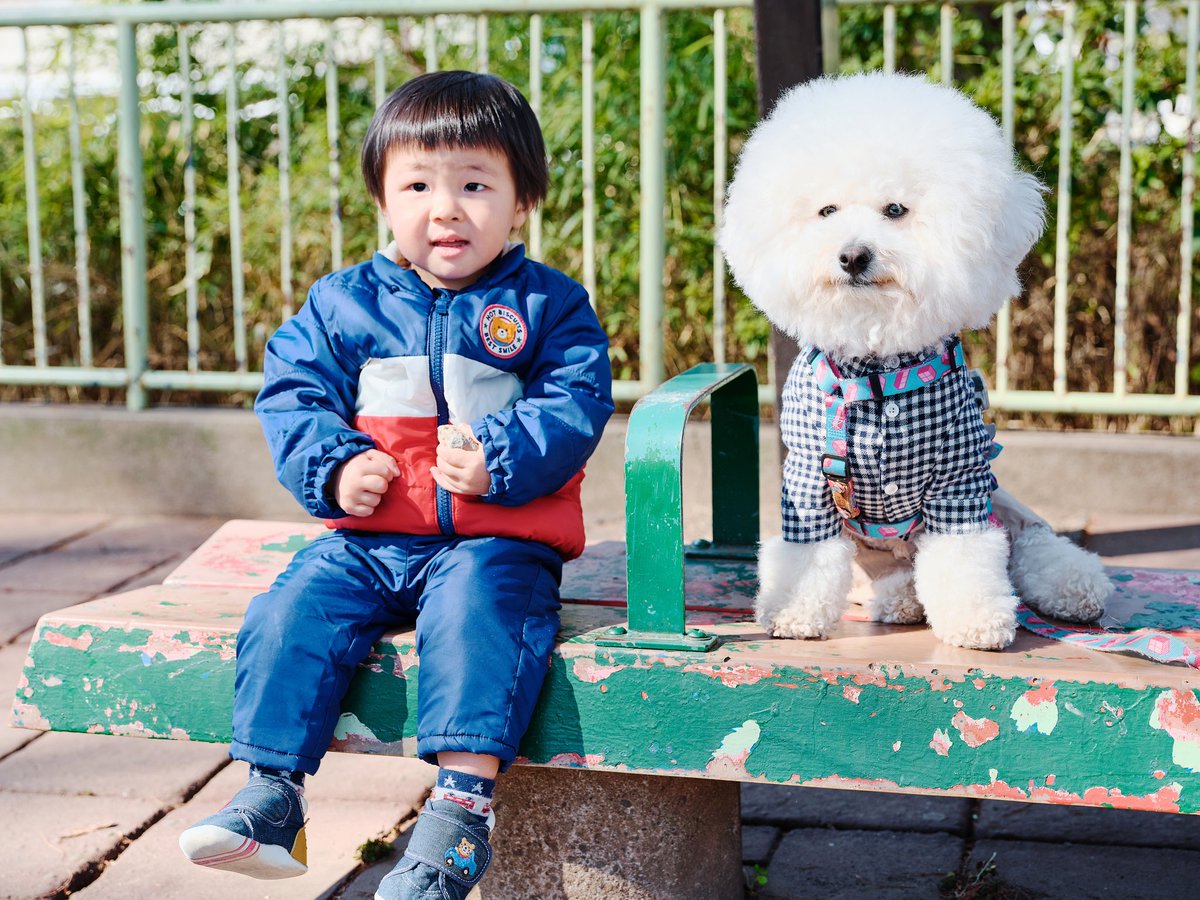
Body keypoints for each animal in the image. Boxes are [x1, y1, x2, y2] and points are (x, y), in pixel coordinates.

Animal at [715, 70, 1108, 648]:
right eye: (826, 211)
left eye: (895, 210)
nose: (852, 255)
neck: (879, 371)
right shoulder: (808, 475)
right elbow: (806, 555)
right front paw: (793, 613)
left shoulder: (961, 477)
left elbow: (964, 555)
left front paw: (976, 619)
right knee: (884, 576)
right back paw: (901, 599)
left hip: (1002, 503)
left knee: (1032, 541)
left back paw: (1076, 587)